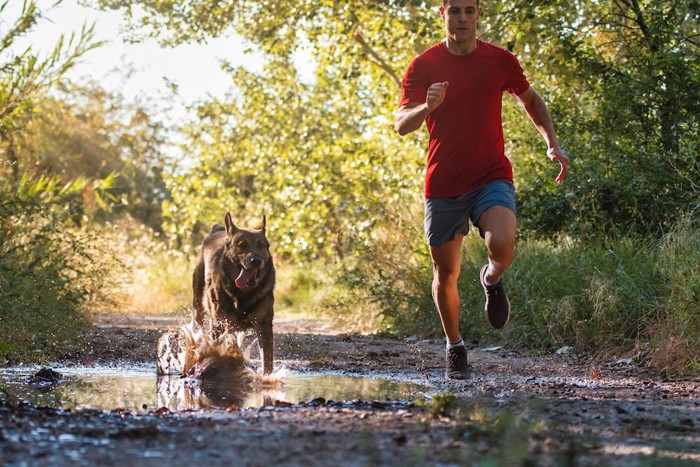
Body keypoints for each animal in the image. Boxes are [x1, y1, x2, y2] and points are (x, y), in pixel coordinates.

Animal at [194, 214, 278, 374]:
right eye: (242, 245)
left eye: (262, 245)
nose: (256, 260)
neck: (243, 293)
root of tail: (218, 229)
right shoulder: (220, 324)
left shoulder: (264, 325)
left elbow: (267, 360)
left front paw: (266, 376)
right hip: (198, 304)